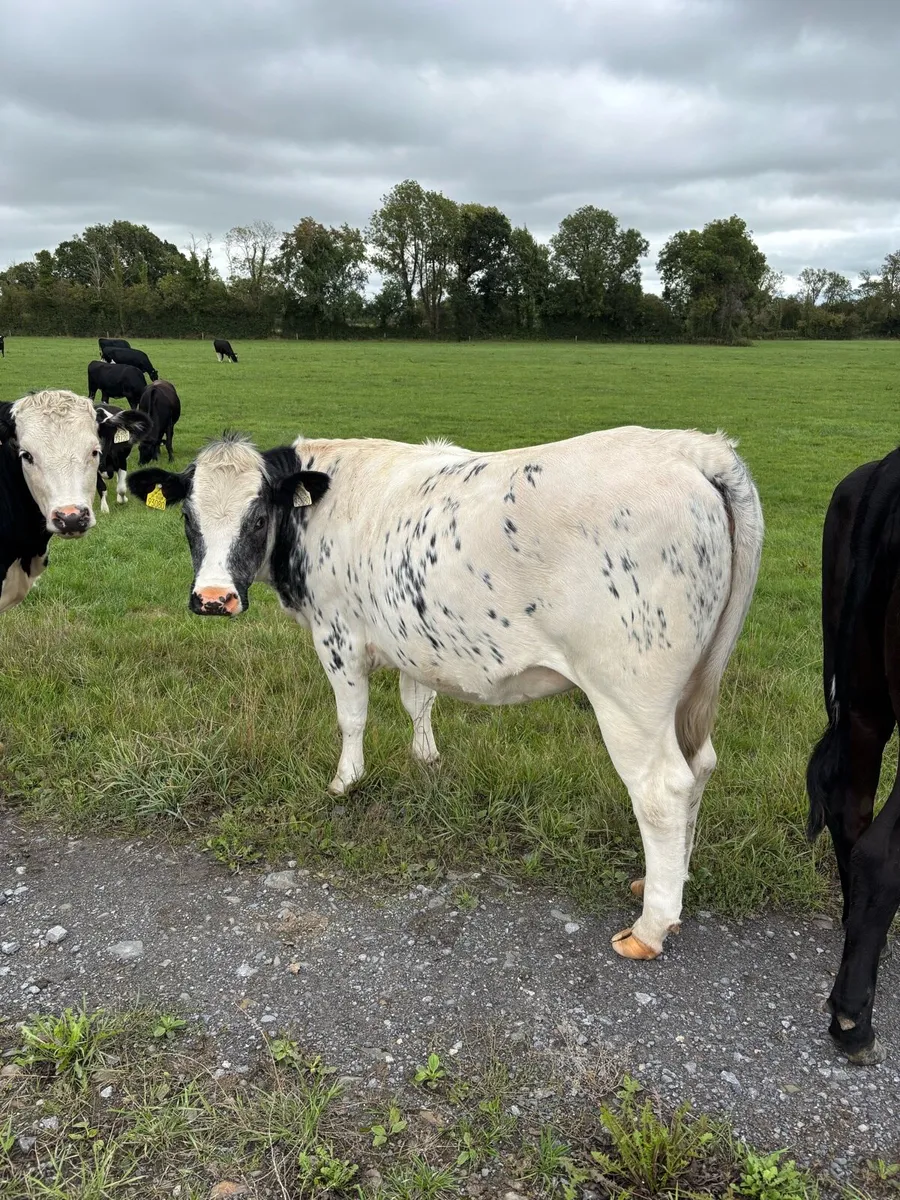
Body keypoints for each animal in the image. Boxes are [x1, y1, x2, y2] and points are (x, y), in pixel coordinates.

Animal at [130, 426, 763, 962]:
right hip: (689, 688)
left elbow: (351, 717)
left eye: (258, 515)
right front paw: (426, 758)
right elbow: (419, 702)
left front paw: (344, 782)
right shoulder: (413, 640)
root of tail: (691, 448)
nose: (213, 598)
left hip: (629, 695)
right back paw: (665, 883)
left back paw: (651, 926)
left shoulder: (337, 634)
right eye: (187, 515)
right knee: (700, 767)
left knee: (663, 790)